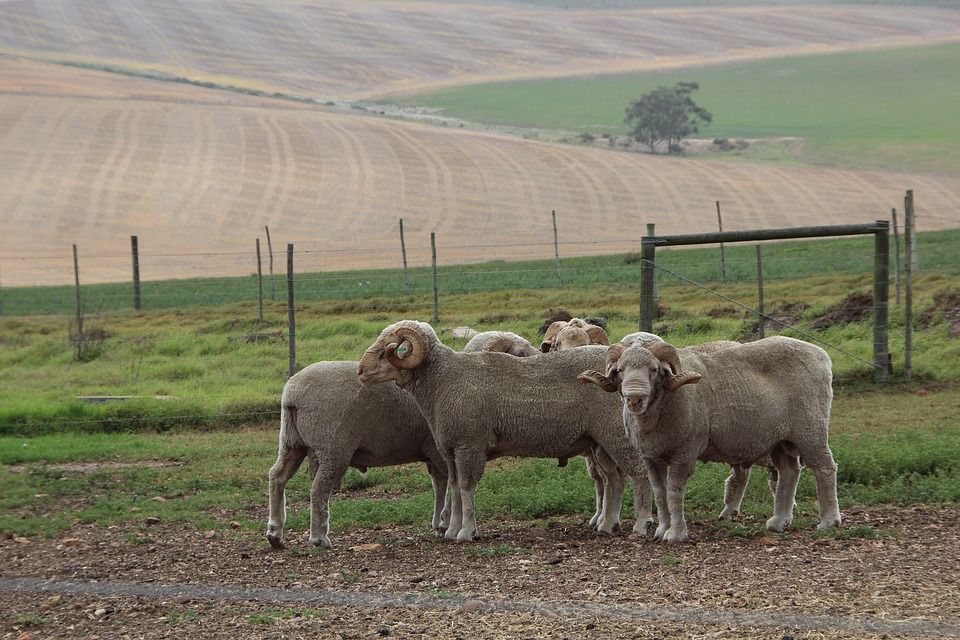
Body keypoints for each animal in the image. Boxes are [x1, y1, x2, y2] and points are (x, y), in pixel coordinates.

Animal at [266, 362, 450, 548]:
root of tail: (292, 394)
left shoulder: (433, 451)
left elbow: (440, 484)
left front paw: (440, 525)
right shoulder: (440, 449)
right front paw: (448, 524)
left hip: (291, 441)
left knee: (277, 476)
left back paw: (275, 533)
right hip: (333, 447)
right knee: (318, 488)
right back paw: (319, 538)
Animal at [356, 320, 656, 540]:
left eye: (389, 350)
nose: (360, 371)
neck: (443, 381)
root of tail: (617, 367)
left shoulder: (470, 444)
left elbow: (466, 487)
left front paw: (466, 532)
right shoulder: (451, 449)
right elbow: (454, 487)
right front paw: (452, 530)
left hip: (615, 433)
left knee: (638, 473)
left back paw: (641, 524)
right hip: (600, 440)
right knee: (614, 480)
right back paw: (607, 525)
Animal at [576, 338, 840, 544]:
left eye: (653, 370)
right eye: (620, 370)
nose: (634, 398)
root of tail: (822, 355)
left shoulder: (685, 451)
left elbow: (674, 492)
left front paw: (676, 534)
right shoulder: (651, 456)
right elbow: (660, 493)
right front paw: (661, 529)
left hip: (811, 429)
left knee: (825, 468)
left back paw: (829, 521)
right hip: (779, 439)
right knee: (788, 472)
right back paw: (779, 521)